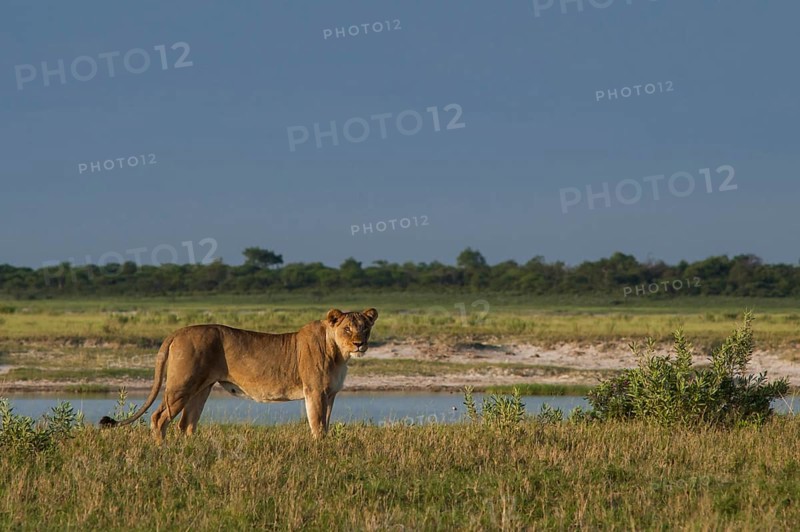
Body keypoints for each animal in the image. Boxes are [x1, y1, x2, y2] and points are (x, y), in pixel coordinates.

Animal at [99, 308, 378, 442]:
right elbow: (318, 425)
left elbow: (326, 425)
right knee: (159, 418)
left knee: (186, 423)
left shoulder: (330, 394)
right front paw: (320, 450)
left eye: (365, 328)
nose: (360, 344)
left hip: (202, 388)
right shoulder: (315, 392)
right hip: (181, 385)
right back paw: (163, 450)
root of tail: (178, 331)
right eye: (347, 328)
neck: (339, 353)